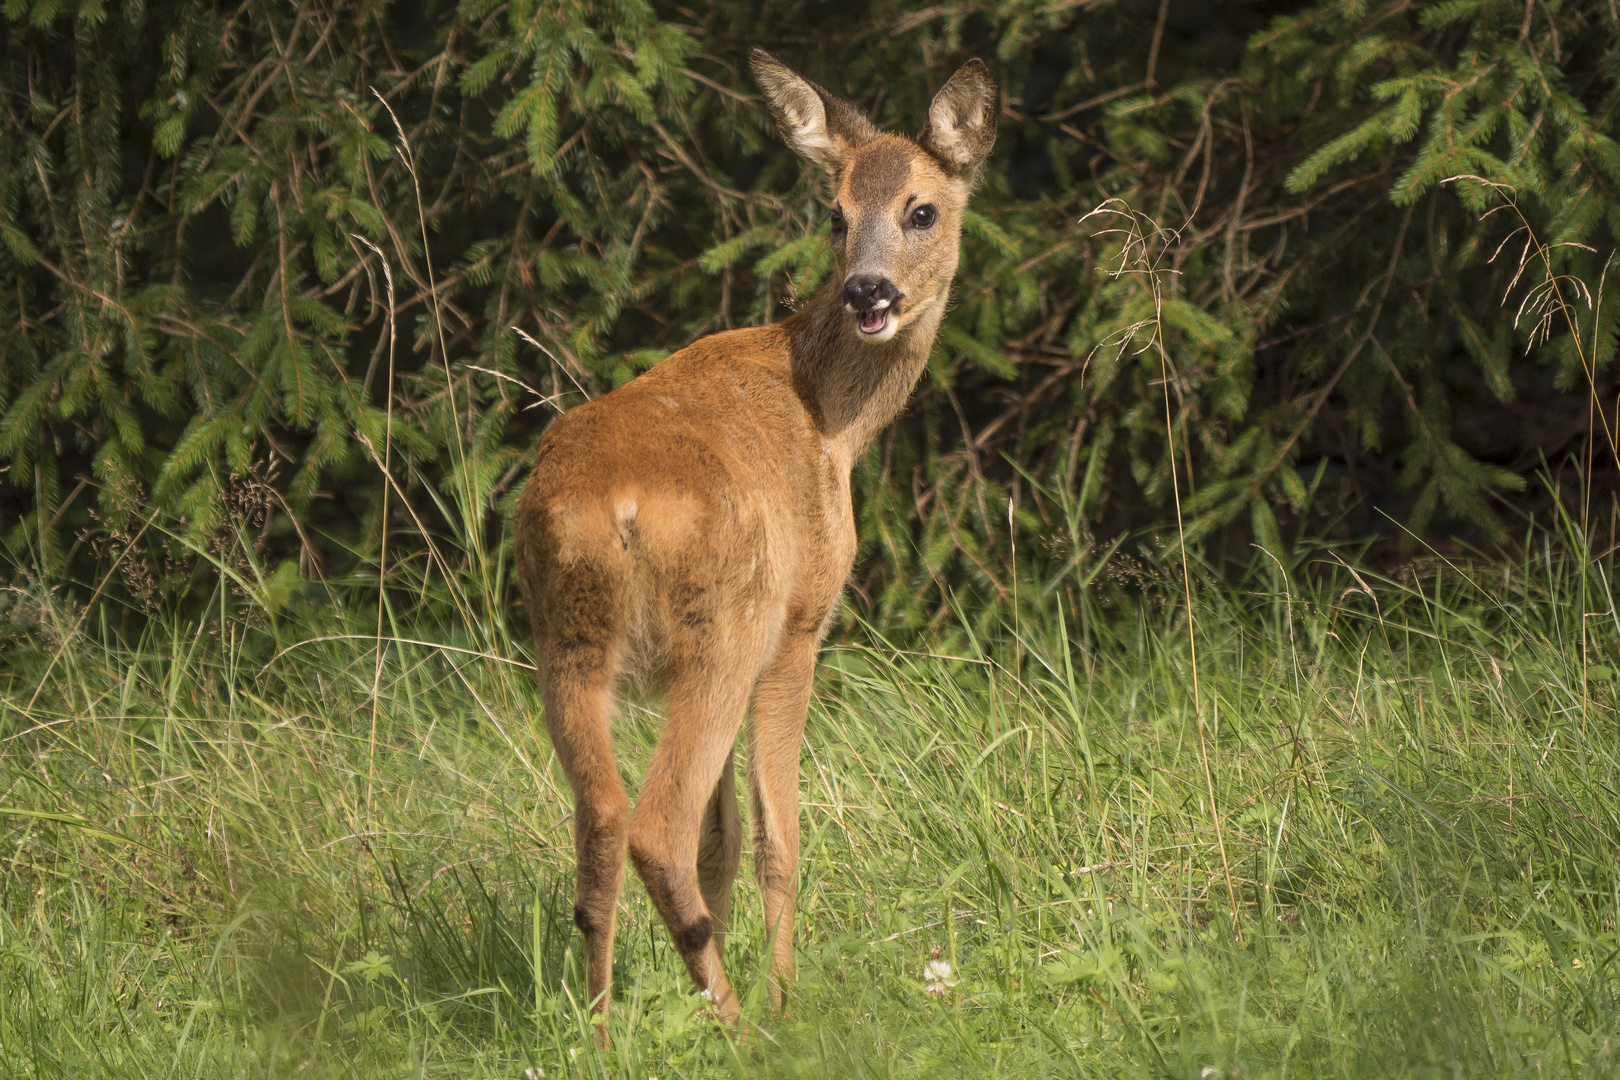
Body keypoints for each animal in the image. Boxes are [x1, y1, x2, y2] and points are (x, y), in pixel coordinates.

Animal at [511, 50, 991, 1029]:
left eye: (921, 209)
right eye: (835, 213)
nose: (868, 290)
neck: (834, 421)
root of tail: (613, 507)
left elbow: (722, 841)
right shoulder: (802, 623)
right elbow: (776, 836)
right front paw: (784, 995)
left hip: (566, 639)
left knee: (602, 824)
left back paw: (603, 1029)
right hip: (724, 627)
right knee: (656, 824)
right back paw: (735, 1023)